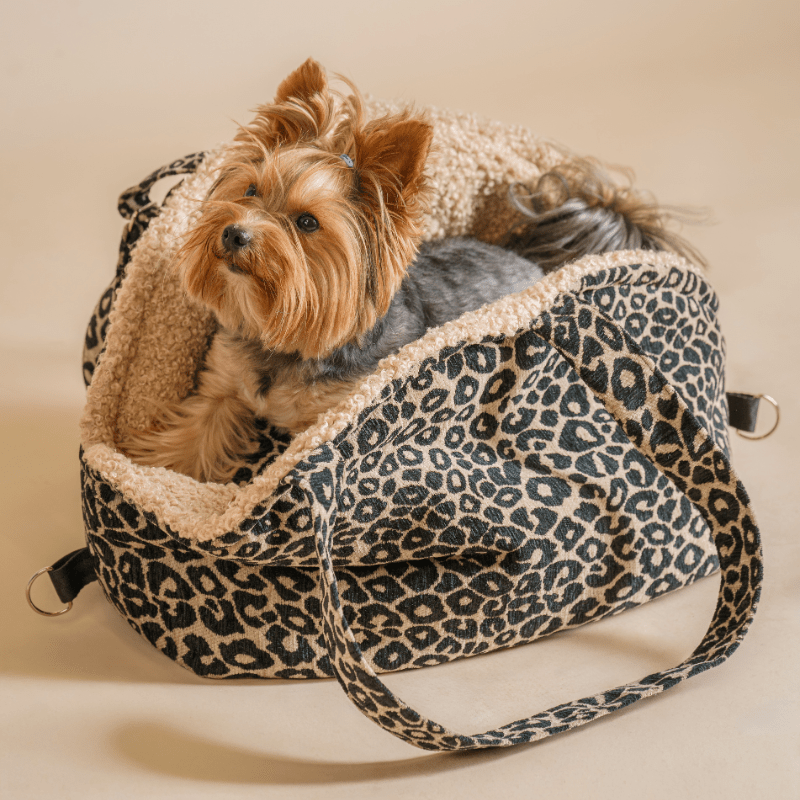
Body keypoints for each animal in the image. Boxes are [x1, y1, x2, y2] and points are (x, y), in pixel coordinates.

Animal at [123, 58, 699, 483]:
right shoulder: (223, 384)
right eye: (249, 191)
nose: (234, 234)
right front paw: (152, 475)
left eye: (307, 222)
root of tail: (537, 264)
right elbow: (191, 439)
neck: (286, 340)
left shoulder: (326, 422)